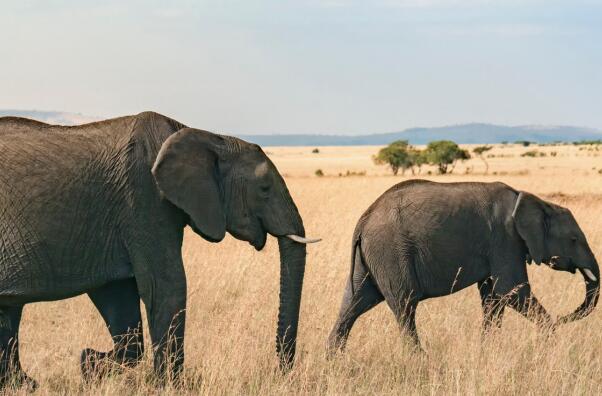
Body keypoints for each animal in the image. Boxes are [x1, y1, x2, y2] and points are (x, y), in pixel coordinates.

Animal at [0, 112, 318, 390]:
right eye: (264, 188)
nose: (281, 373)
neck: (207, 137)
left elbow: (119, 299)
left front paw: (91, 365)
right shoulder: (143, 198)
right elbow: (165, 285)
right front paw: (170, 386)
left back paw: (25, 385)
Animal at [328, 180, 596, 352]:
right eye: (574, 240)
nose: (563, 317)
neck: (532, 200)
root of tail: (363, 221)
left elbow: (493, 297)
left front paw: (487, 350)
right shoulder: (505, 239)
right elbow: (512, 290)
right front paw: (549, 338)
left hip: (372, 258)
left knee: (353, 304)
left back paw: (334, 360)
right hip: (390, 252)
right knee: (404, 306)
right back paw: (420, 360)